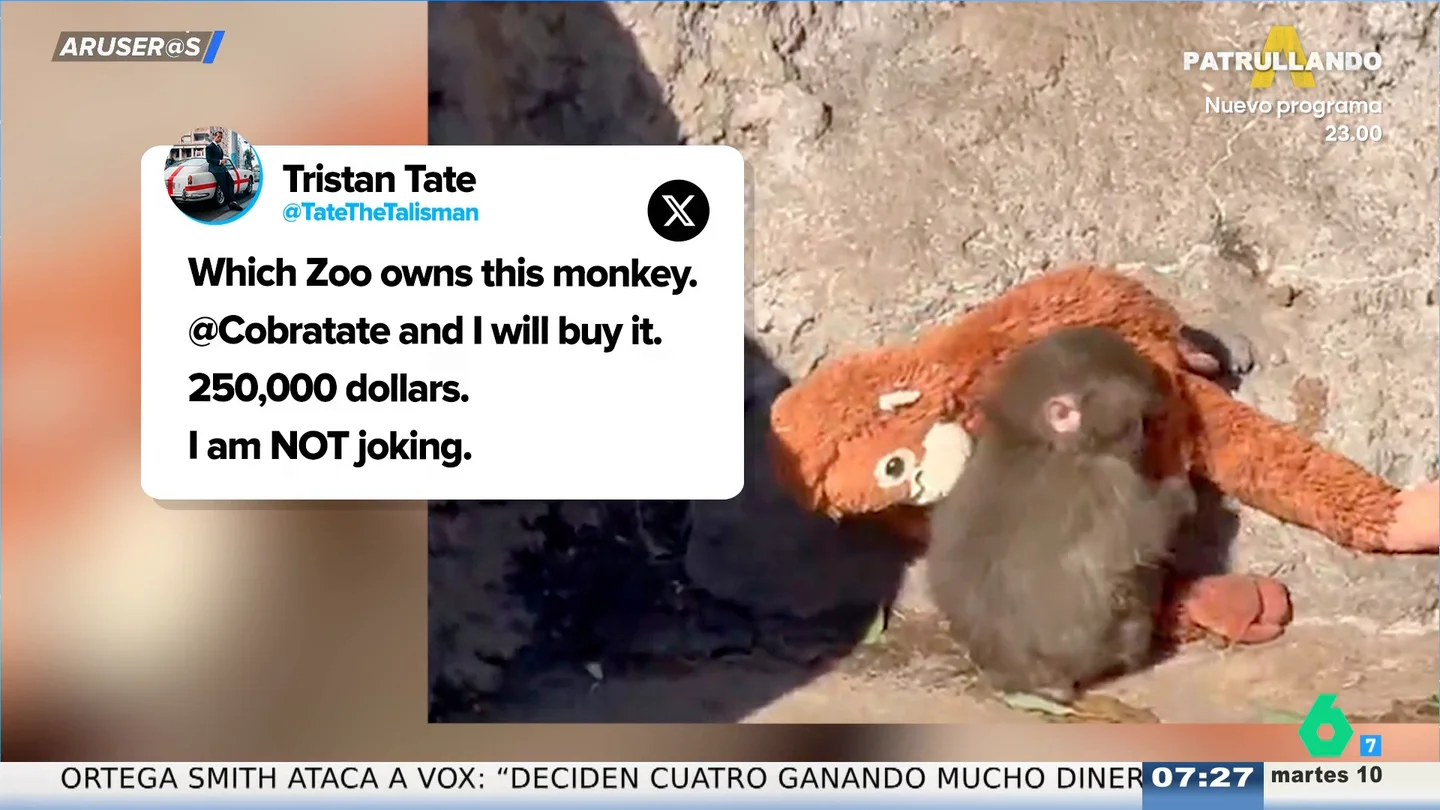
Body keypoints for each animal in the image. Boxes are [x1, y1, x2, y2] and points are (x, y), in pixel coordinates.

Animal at [925, 325, 1197, 704]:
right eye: (1137, 422)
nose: (1140, 442)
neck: (1036, 441)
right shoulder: (1107, 477)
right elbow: (1142, 543)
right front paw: (1181, 492)